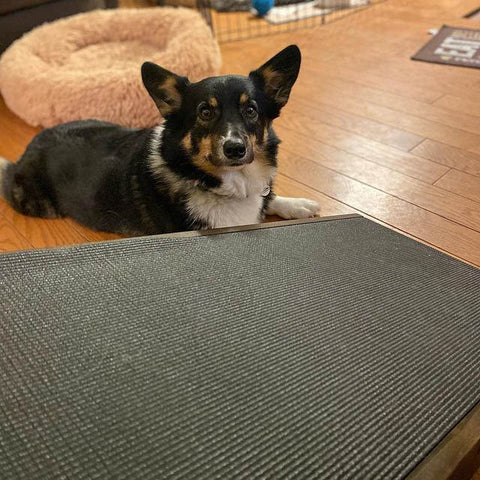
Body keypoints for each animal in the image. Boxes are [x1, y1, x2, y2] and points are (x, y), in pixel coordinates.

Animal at [0, 46, 318, 237]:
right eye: (205, 112)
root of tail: (24, 153)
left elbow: (269, 198)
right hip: (40, 204)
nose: (235, 149)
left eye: (250, 110)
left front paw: (297, 205)